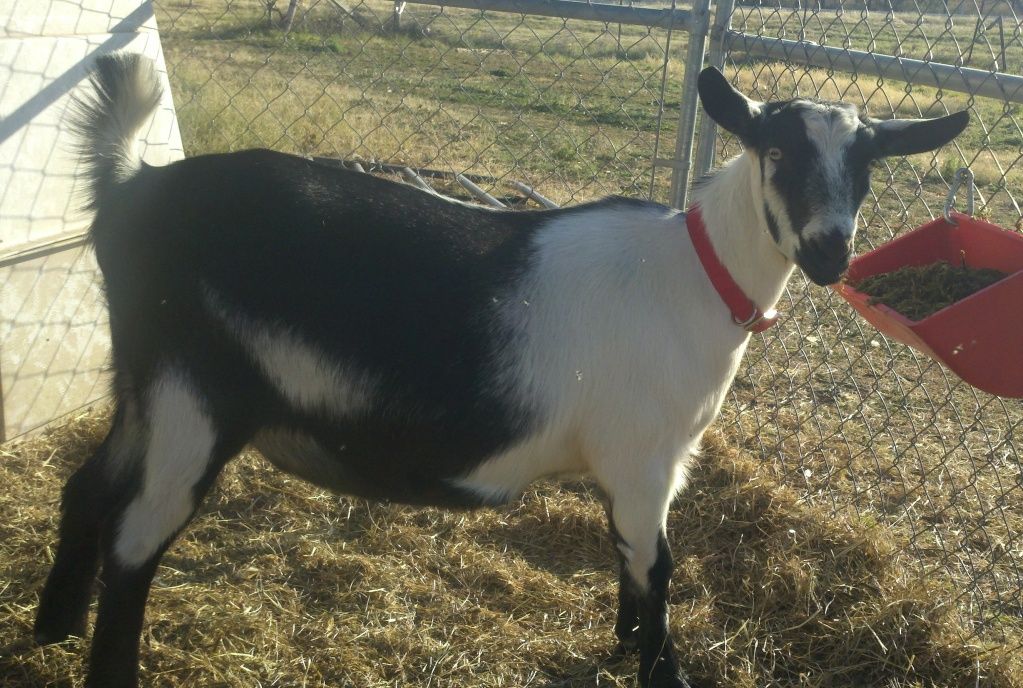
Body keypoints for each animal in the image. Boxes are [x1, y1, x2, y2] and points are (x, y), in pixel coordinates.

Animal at [35, 53, 968, 688]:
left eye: (866, 164)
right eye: (774, 149)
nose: (829, 252)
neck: (694, 274)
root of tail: (132, 189)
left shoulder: (631, 467)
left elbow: (627, 559)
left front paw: (625, 643)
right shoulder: (645, 458)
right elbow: (657, 565)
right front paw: (660, 669)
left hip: (141, 385)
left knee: (87, 487)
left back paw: (51, 629)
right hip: (192, 394)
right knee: (135, 535)